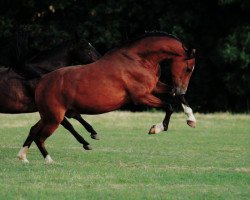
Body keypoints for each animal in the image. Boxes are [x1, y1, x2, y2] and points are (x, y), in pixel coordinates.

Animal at [17, 31, 196, 163]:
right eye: (188, 68)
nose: (182, 88)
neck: (138, 59)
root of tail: (42, 81)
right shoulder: (141, 96)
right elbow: (169, 106)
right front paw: (156, 128)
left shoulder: (155, 87)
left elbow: (176, 97)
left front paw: (191, 120)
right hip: (54, 118)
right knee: (40, 137)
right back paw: (49, 160)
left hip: (49, 115)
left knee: (34, 130)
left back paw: (23, 156)